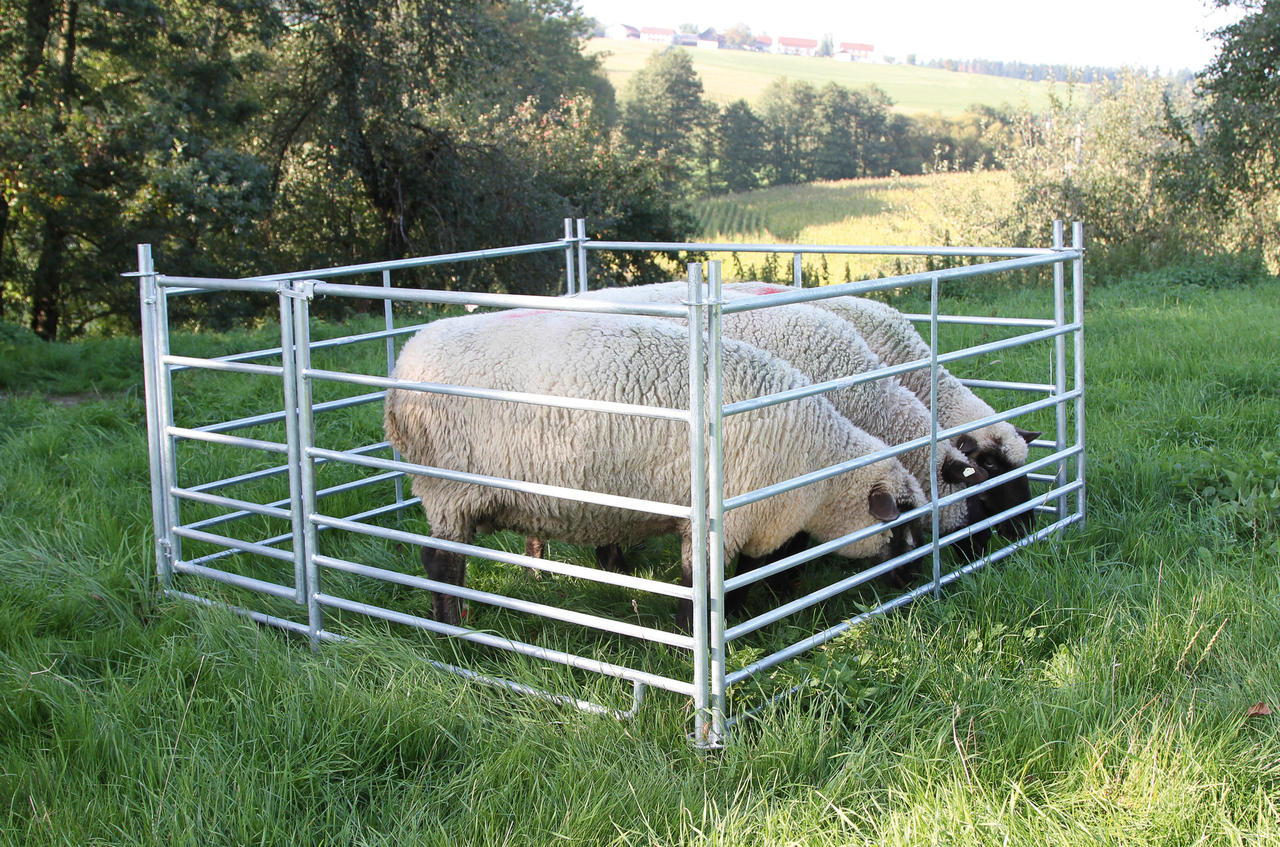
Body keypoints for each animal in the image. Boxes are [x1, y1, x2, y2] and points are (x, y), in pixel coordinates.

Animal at [384, 309, 926, 628]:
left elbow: (747, 573)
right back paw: (451, 632)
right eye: (903, 520)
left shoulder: (758, 518)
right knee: (440, 563)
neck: (818, 467)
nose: (917, 581)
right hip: (448, 488)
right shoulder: (723, 519)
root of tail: (402, 363)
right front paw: (701, 635)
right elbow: (702, 587)